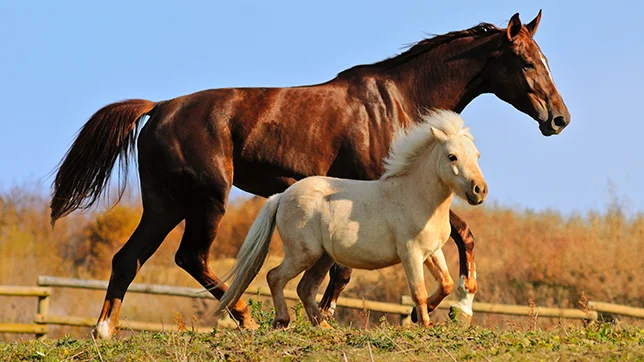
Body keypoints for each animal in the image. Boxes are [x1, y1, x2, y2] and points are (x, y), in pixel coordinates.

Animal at [216, 109, 488, 328]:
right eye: (452, 156)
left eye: (477, 155)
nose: (479, 190)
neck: (416, 196)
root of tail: (281, 197)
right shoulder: (410, 253)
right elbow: (418, 292)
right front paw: (425, 324)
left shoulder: (432, 251)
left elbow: (446, 283)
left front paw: (419, 316)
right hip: (303, 254)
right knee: (275, 277)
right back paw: (282, 321)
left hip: (322, 257)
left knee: (305, 288)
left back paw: (325, 327)